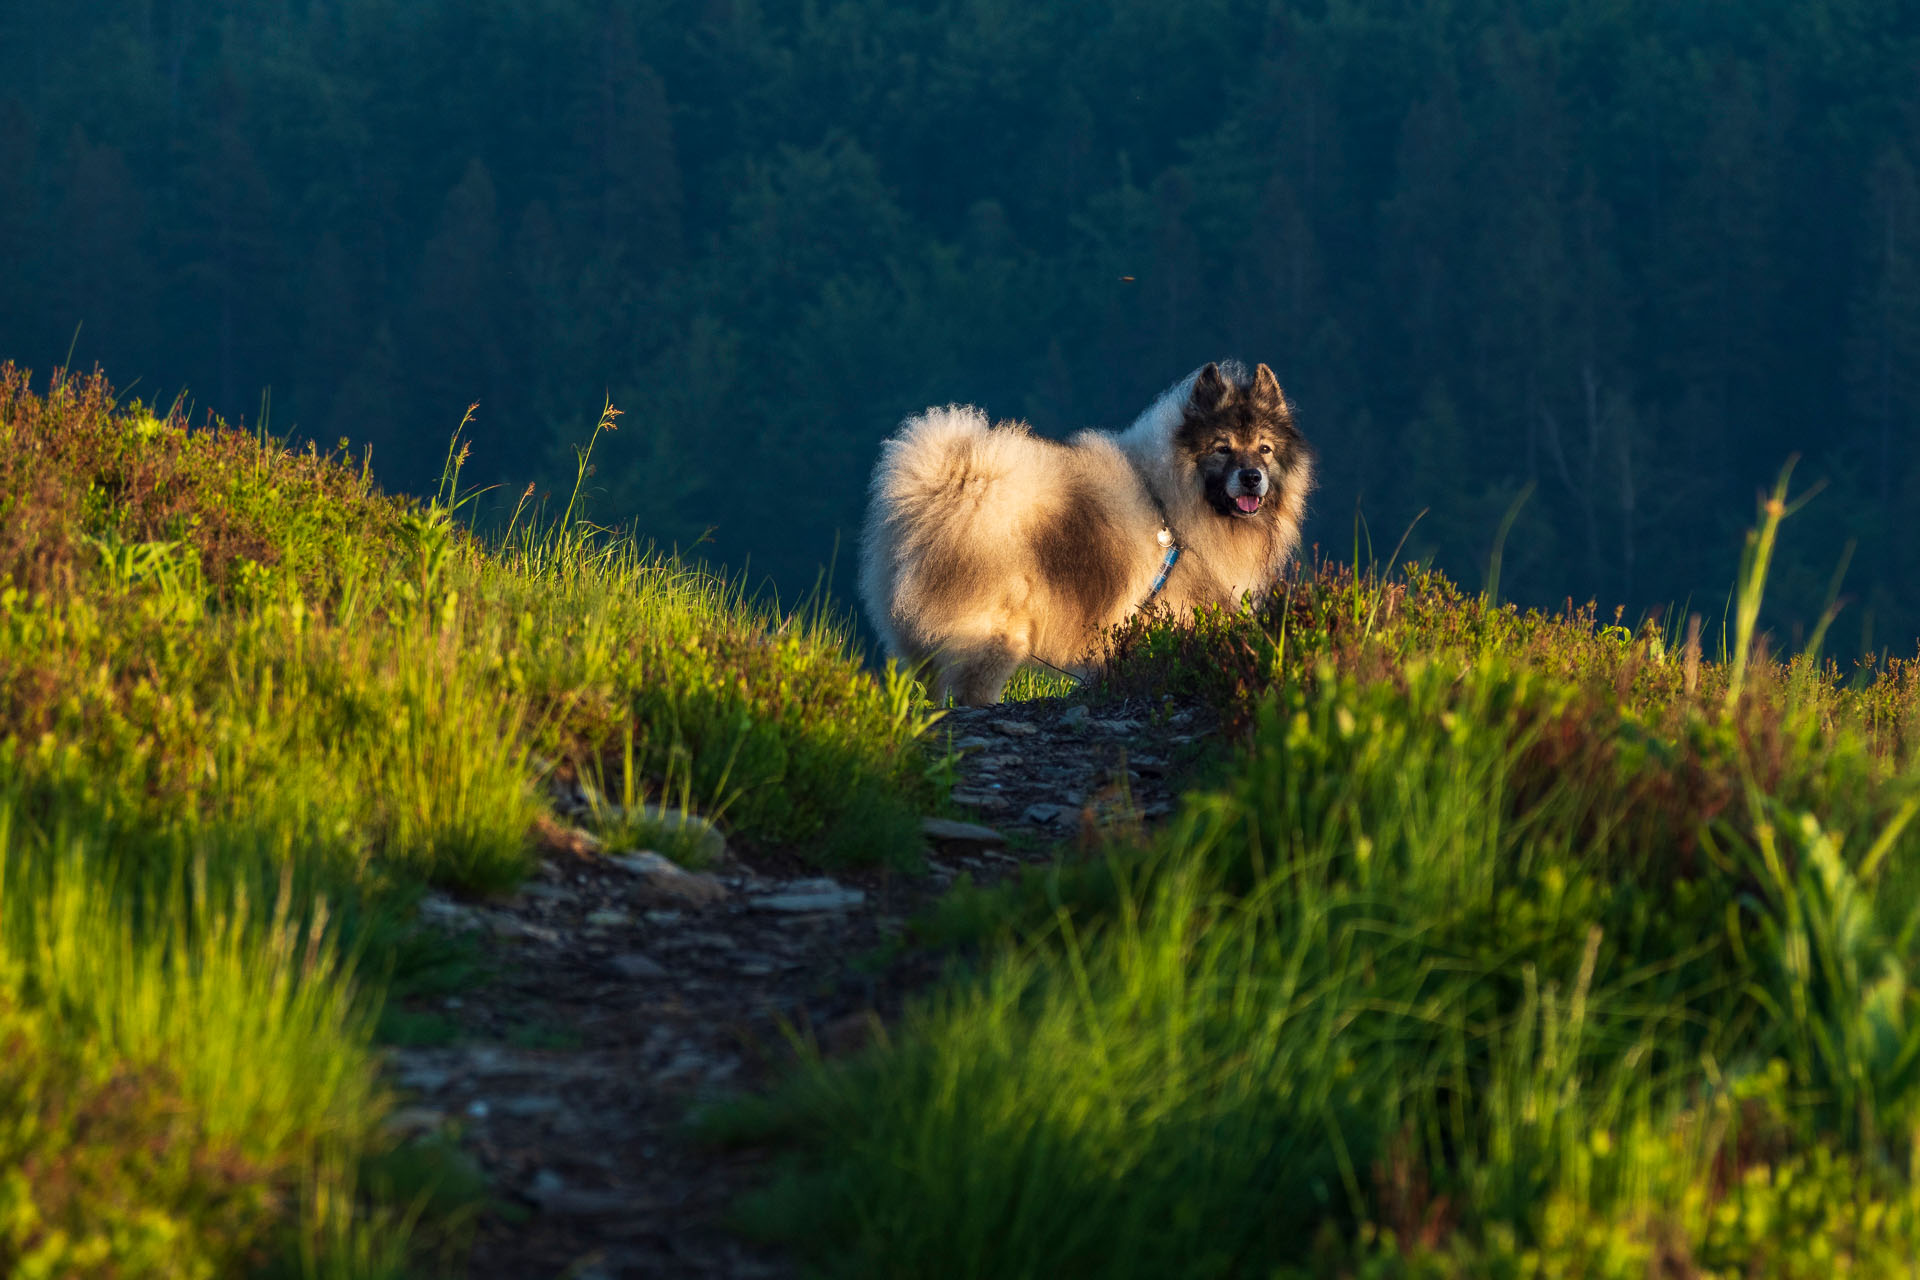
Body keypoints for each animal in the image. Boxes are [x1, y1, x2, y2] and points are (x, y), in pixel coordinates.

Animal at [864, 360, 1313, 706]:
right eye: (1222, 448)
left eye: (1265, 449)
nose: (1251, 477)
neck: (1171, 506)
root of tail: (953, 487)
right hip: (993, 636)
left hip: (918, 644)